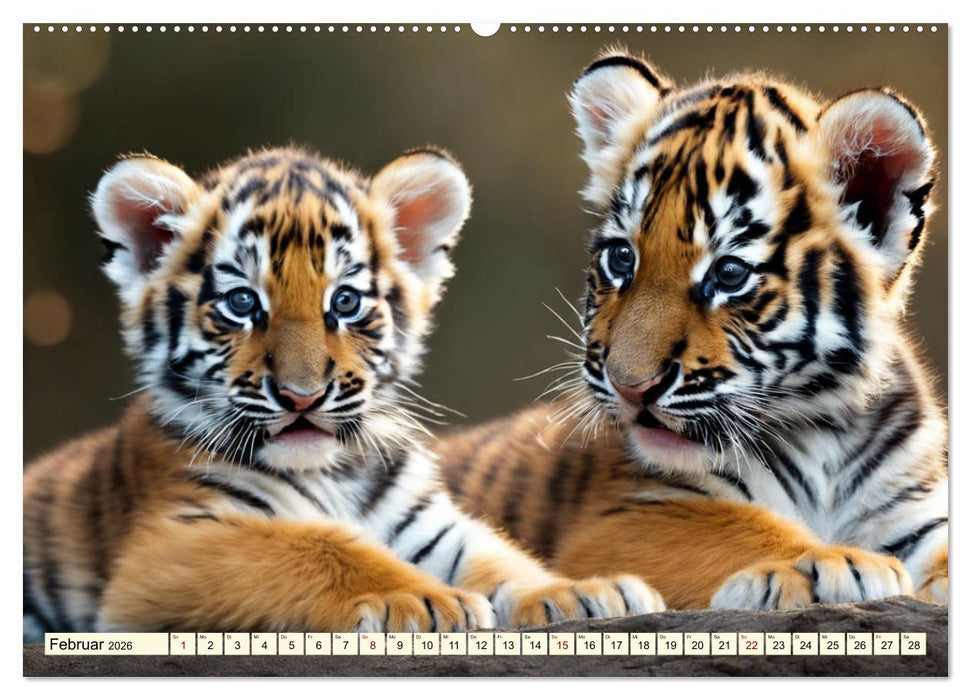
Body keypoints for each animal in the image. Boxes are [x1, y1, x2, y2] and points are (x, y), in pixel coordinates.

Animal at [23, 146, 665, 642]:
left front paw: (581, 592)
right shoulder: (180, 538)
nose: (302, 397)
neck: (335, 473)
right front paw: (425, 600)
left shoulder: (430, 524)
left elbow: (498, 557)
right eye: (242, 303)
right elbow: (317, 546)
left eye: (346, 302)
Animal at [437, 49, 948, 611]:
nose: (630, 387)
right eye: (622, 258)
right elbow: (739, 529)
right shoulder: (631, 514)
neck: (824, 435)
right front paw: (829, 561)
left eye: (729, 274)